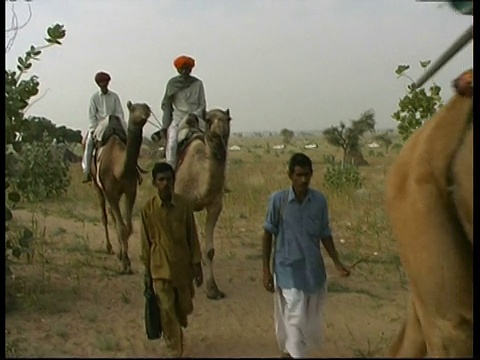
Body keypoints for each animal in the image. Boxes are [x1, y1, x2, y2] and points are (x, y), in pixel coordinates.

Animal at [89, 100, 151, 274]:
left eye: (146, 107)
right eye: (134, 109)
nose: (146, 114)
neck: (119, 168)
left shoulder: (130, 190)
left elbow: (128, 227)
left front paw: (124, 257)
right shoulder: (110, 191)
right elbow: (122, 227)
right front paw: (126, 264)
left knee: (113, 216)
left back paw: (118, 251)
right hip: (98, 186)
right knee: (105, 216)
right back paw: (109, 248)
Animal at [173, 108, 232, 300]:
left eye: (228, 119)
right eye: (208, 121)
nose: (220, 133)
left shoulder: (215, 206)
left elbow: (209, 251)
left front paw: (213, 289)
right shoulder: (185, 205)